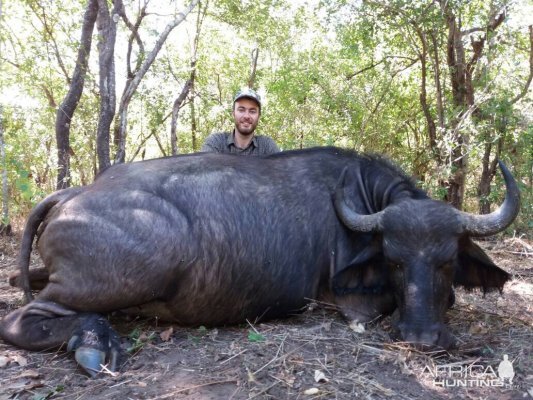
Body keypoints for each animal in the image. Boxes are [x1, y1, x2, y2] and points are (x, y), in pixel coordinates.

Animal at [0, 146, 516, 376]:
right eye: (393, 260)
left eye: (447, 260)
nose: (421, 337)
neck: (362, 199)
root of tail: (75, 194)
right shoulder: (348, 302)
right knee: (23, 317)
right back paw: (94, 342)